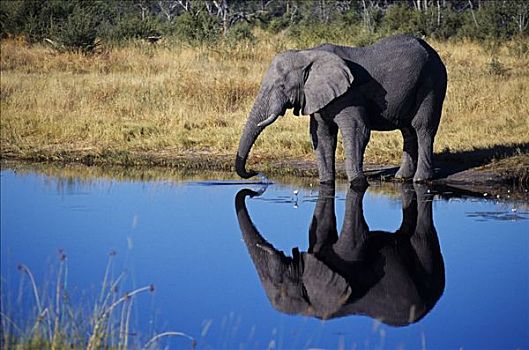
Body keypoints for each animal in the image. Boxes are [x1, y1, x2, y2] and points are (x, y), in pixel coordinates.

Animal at [235, 35, 446, 187]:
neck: (308, 54)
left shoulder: (349, 93)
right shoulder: (318, 95)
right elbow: (321, 135)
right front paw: (326, 183)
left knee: (422, 127)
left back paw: (421, 180)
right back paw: (401, 178)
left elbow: (357, 130)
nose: (254, 172)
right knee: (407, 129)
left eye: (281, 87)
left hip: (432, 83)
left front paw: (358, 184)